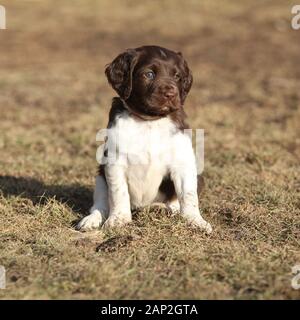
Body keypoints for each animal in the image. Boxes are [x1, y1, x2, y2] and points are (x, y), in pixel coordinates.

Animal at [78, 45, 212, 232]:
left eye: (177, 76)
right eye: (149, 74)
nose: (171, 93)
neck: (149, 121)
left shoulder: (183, 161)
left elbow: (188, 194)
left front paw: (195, 221)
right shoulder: (114, 162)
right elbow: (118, 193)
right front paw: (119, 219)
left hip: (199, 177)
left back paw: (163, 208)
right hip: (100, 176)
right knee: (101, 203)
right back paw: (92, 219)